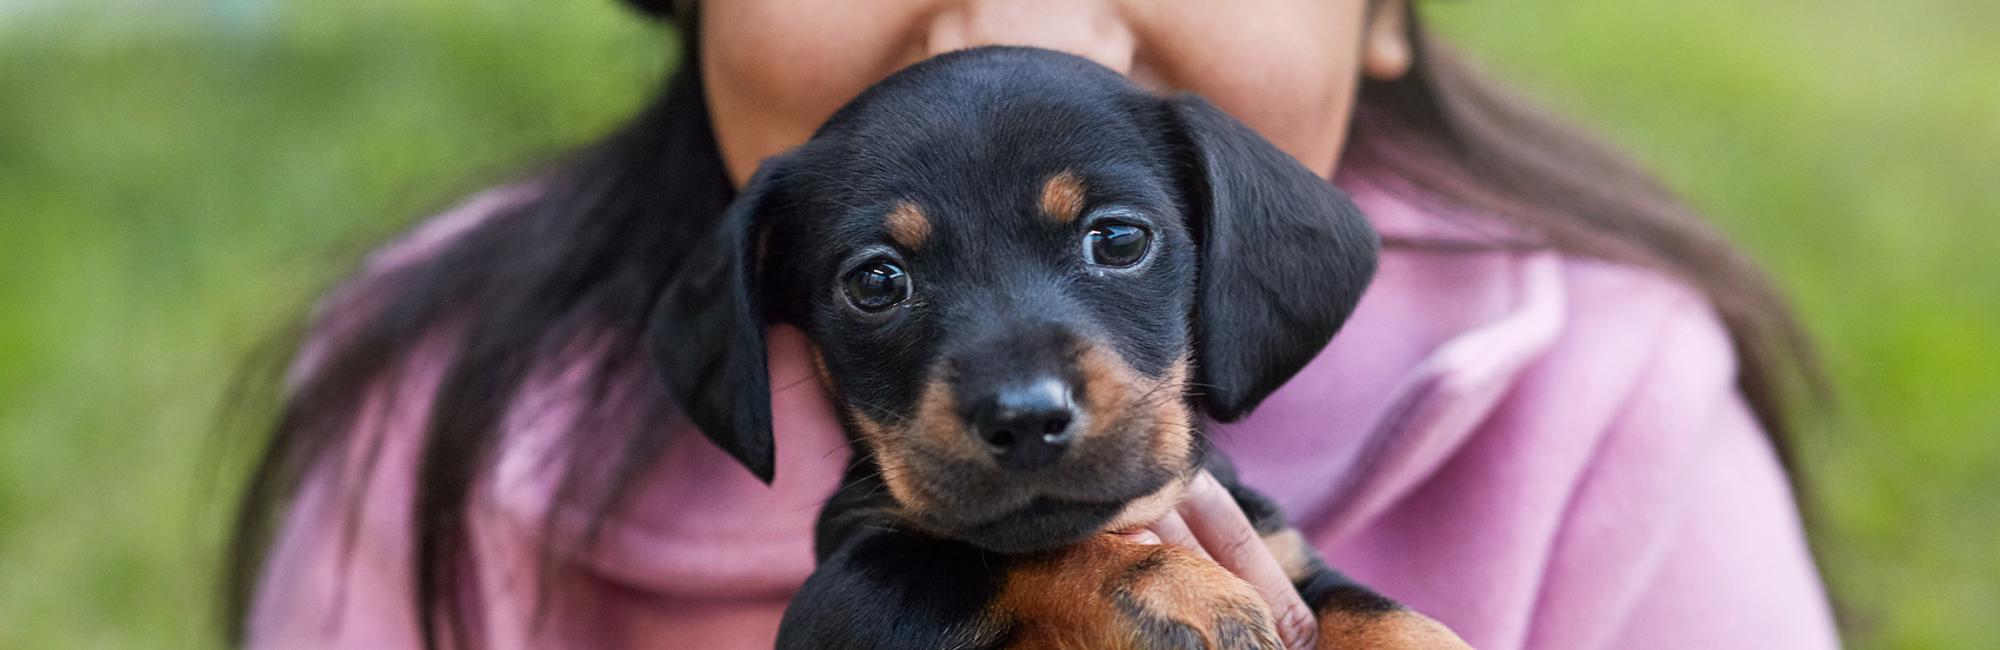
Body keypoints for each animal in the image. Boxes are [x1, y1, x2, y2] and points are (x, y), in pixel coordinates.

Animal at [648, 46, 1464, 648]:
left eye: (1119, 239)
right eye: (876, 282)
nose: (1026, 420)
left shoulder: (1287, 552)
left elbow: (1378, 611)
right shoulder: (840, 594)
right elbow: (1002, 552)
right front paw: (1178, 589)